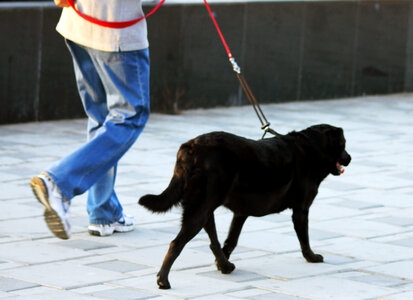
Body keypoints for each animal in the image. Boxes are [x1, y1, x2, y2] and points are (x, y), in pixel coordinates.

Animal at [139, 123, 350, 288]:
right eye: (343, 144)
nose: (349, 158)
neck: (312, 149)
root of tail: (189, 148)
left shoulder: (241, 213)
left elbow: (231, 240)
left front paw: (221, 263)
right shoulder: (301, 210)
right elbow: (304, 239)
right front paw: (312, 257)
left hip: (203, 207)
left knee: (213, 239)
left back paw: (225, 266)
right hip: (200, 209)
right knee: (176, 243)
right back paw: (163, 280)